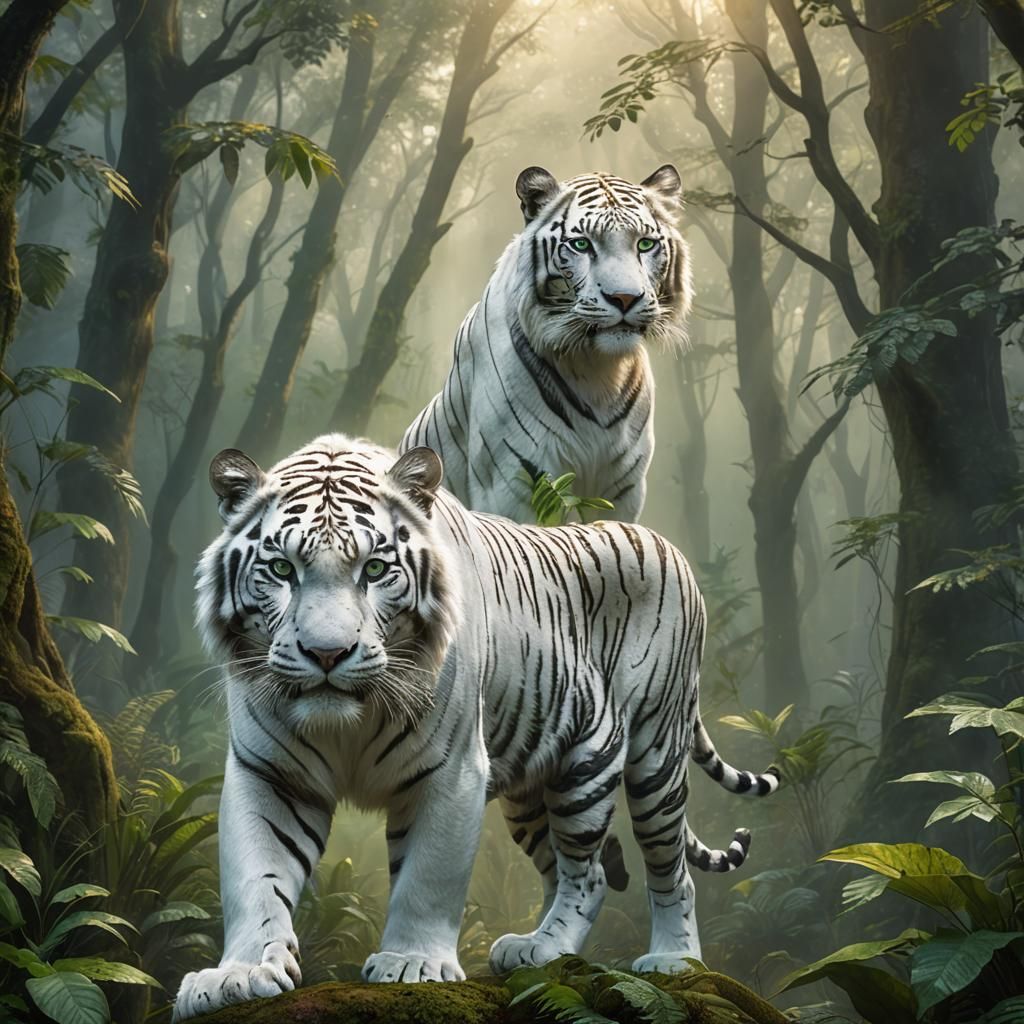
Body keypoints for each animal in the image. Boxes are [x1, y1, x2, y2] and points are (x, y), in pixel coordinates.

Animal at [172, 434, 778, 1020]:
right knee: (570, 869)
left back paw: (670, 960)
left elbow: (428, 876)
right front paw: (238, 975)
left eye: (374, 570)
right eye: (281, 570)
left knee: (634, 870)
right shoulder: (268, 774)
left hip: (641, 758)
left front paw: (411, 964)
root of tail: (663, 542)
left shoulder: (452, 770)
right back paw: (542, 952)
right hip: (533, 788)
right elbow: (256, 878)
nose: (327, 654)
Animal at [402, 164, 691, 524]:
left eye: (645, 244)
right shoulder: (512, 480)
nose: (625, 298)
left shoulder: (624, 487)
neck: (599, 369)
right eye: (581, 244)